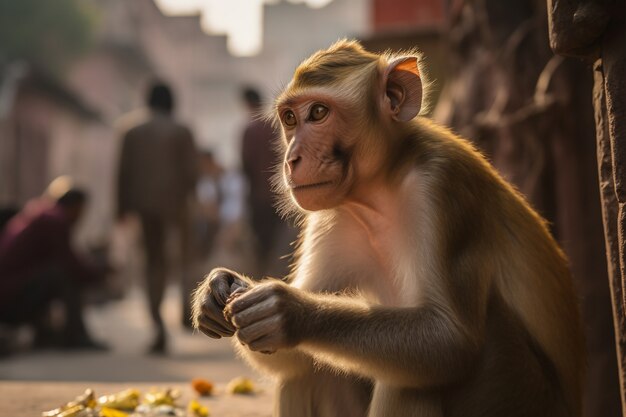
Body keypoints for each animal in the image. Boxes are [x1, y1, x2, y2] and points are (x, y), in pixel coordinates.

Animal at [191, 40, 584, 416]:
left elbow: (450, 341)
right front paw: (219, 288)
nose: (291, 160)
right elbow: (290, 359)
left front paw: (292, 313)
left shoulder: (442, 186)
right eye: (289, 118)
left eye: (318, 113)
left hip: (517, 390)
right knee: (306, 374)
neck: (382, 188)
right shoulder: (333, 218)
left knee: (413, 379)